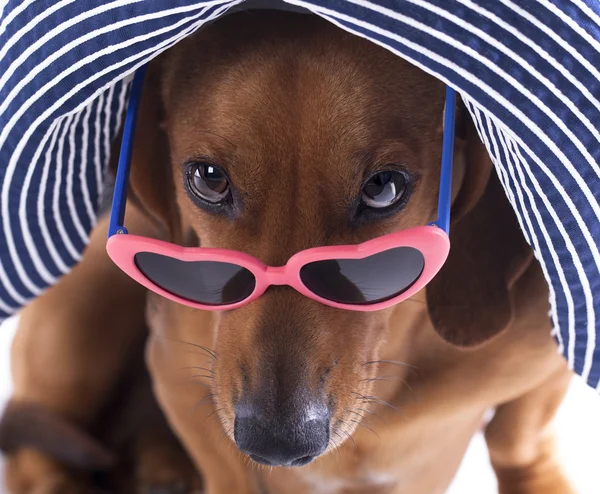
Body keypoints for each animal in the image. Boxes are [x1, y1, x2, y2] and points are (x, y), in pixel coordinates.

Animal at [2, 9, 576, 494]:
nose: (277, 444)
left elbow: (516, 437)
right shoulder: (177, 374)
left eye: (384, 187)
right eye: (208, 178)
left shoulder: (545, 366)